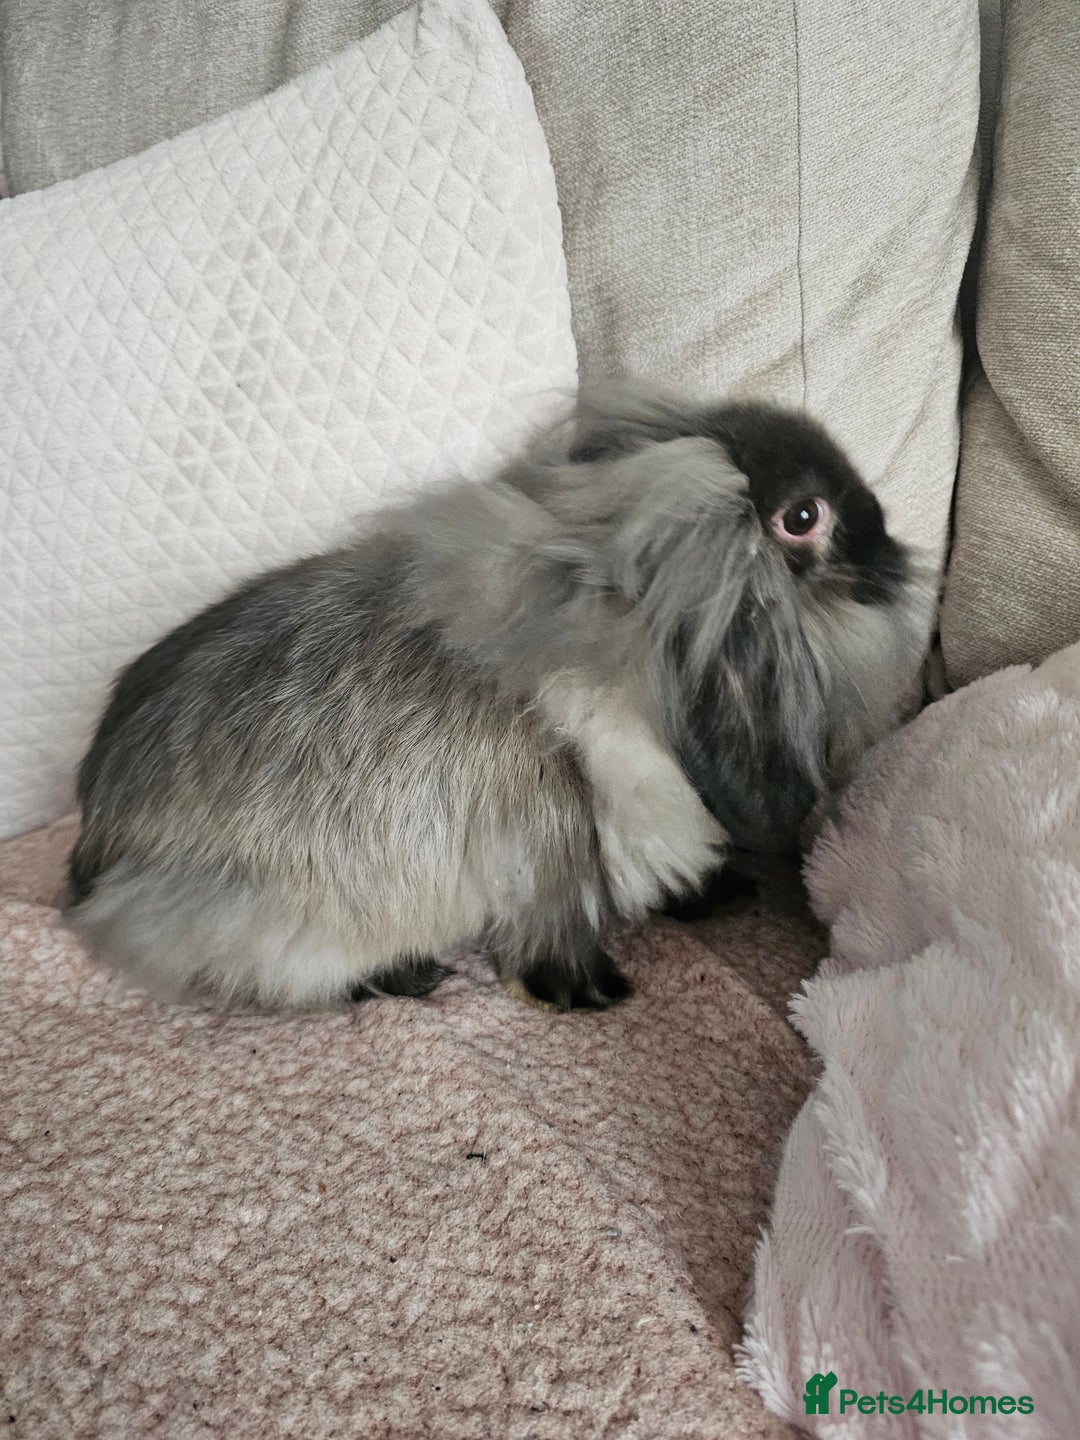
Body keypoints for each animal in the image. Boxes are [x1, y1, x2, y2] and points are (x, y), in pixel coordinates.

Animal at [64, 383, 932, 1012]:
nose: (892, 552)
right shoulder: (559, 826)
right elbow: (561, 923)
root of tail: (96, 846)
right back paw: (401, 976)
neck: (624, 623)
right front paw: (595, 994)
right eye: (802, 517)